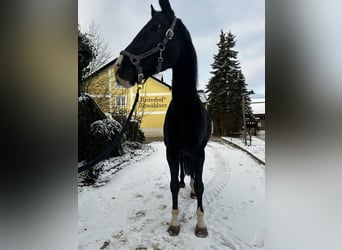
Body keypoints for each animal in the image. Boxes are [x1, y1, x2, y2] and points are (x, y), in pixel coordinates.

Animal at [114, 0, 211, 238]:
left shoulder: (199, 153)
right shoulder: (172, 152)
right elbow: (173, 184)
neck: (185, 111)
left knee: (194, 176)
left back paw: (192, 189)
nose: (119, 67)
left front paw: (201, 224)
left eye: (154, 28)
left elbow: (201, 184)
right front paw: (174, 223)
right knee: (184, 173)